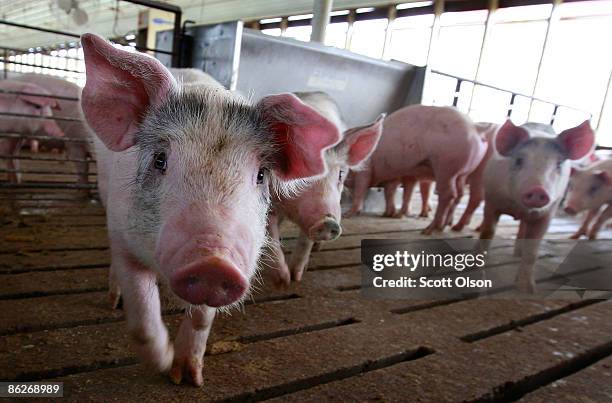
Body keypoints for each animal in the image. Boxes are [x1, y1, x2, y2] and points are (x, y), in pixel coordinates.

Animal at [79, 33, 340, 386]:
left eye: (261, 175)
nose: (213, 263)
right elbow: (142, 316)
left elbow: (202, 319)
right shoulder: (123, 236)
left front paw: (188, 378)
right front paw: (164, 362)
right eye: (160, 159)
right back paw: (112, 301)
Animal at [266, 91, 384, 288]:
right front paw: (282, 282)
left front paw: (296, 277)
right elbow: (271, 235)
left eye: (340, 173)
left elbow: (305, 242)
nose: (328, 222)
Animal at [346, 104, 486, 235]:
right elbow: (389, 191)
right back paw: (444, 227)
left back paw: (428, 230)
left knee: (449, 194)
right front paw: (388, 213)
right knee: (460, 194)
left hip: (446, 168)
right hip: (461, 174)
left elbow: (361, 190)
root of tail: (475, 128)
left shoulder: (365, 170)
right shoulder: (393, 175)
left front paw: (348, 214)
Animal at [480, 120, 596, 294]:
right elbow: (488, 232)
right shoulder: (491, 199)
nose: (538, 190)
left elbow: (532, 251)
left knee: (523, 229)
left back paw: (517, 254)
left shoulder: (548, 213)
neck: (518, 207)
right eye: (519, 160)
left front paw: (527, 289)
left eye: (558, 164)